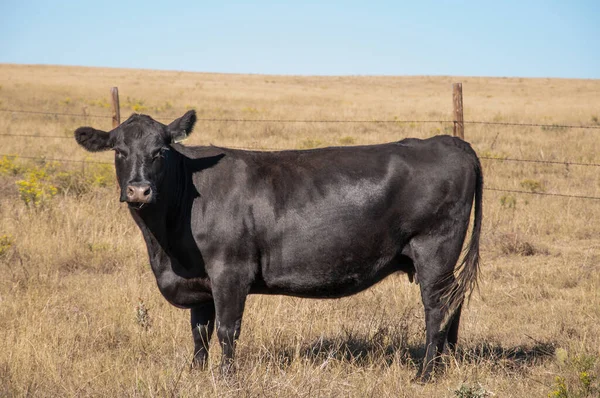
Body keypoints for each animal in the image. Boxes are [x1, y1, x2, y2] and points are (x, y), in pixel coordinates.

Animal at [75, 110, 482, 380]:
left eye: (160, 151)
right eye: (118, 151)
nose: (139, 190)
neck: (166, 248)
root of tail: (449, 141)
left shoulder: (230, 271)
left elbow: (226, 329)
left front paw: (226, 378)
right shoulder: (199, 280)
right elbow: (199, 331)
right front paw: (196, 374)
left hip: (434, 251)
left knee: (437, 309)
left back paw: (424, 374)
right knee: (452, 305)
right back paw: (442, 364)